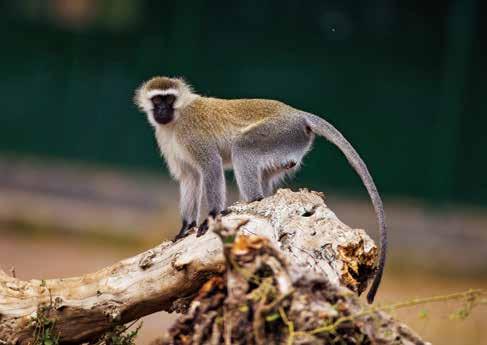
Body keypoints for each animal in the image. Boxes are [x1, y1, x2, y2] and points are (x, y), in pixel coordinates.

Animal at [134, 76, 388, 300]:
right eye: (157, 100)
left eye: (169, 99)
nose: (162, 111)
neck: (176, 120)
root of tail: (296, 113)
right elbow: (190, 178)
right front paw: (185, 227)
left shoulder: (192, 133)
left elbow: (210, 166)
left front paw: (212, 216)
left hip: (280, 133)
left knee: (242, 147)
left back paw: (252, 201)